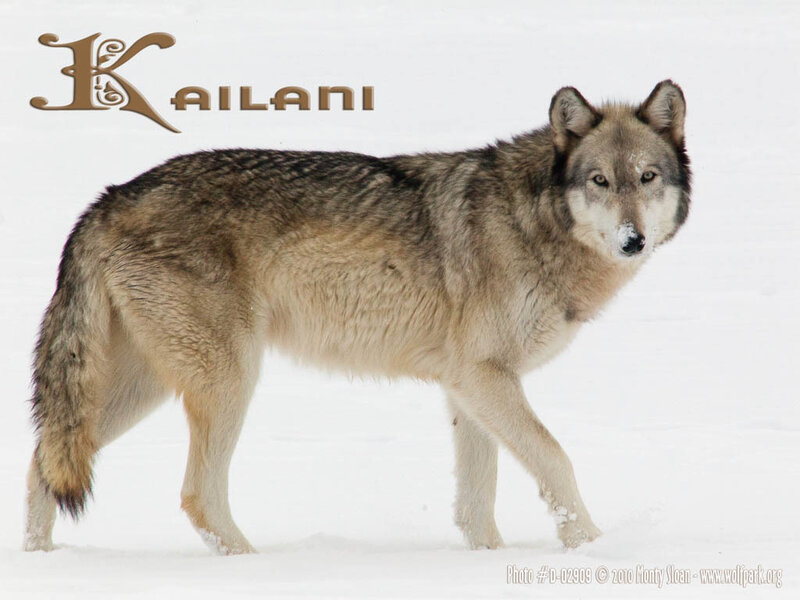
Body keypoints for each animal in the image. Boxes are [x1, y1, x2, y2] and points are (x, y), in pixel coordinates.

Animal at [24, 81, 690, 554]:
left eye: (647, 178)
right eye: (599, 180)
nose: (632, 240)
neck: (536, 221)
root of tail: (107, 198)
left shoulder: (468, 388)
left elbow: (476, 503)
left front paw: (488, 563)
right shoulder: (485, 378)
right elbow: (556, 459)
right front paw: (594, 551)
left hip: (144, 388)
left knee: (43, 461)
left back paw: (43, 563)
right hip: (227, 380)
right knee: (197, 497)